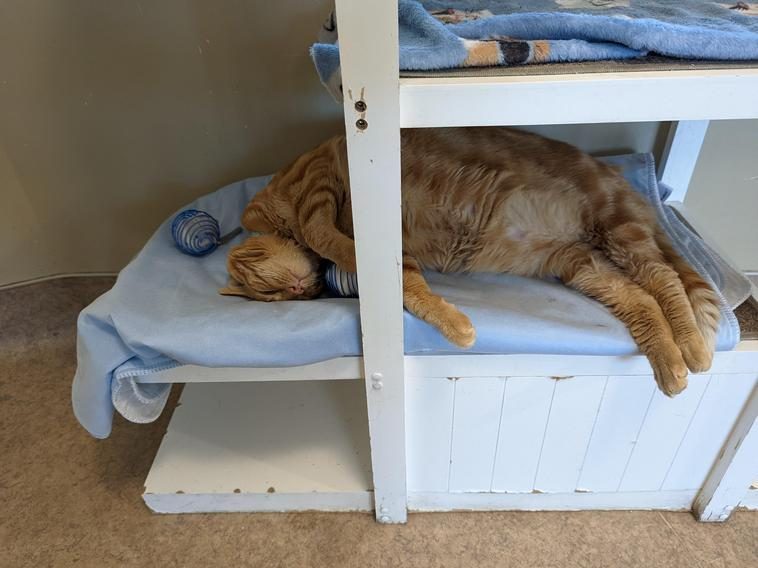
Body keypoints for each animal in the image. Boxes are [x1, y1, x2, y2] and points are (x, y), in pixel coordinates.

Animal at [221, 127, 721, 396]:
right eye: (270, 298)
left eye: (264, 286)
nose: (295, 292)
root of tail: (622, 180)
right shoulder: (400, 260)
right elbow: (411, 290)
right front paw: (454, 323)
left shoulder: (320, 182)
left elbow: (323, 233)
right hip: (583, 264)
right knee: (642, 299)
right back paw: (671, 364)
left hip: (617, 228)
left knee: (665, 276)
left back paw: (693, 348)